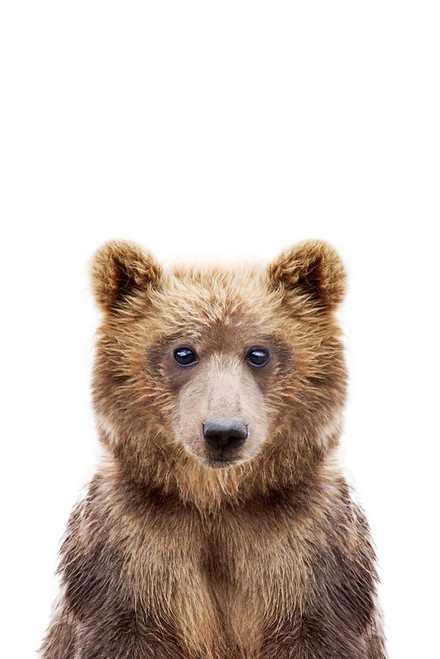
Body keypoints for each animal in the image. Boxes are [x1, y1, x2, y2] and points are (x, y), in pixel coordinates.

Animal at [41, 239, 386, 659]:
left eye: (258, 352)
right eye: (183, 352)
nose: (223, 432)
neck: (217, 500)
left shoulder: (310, 552)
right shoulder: (128, 552)